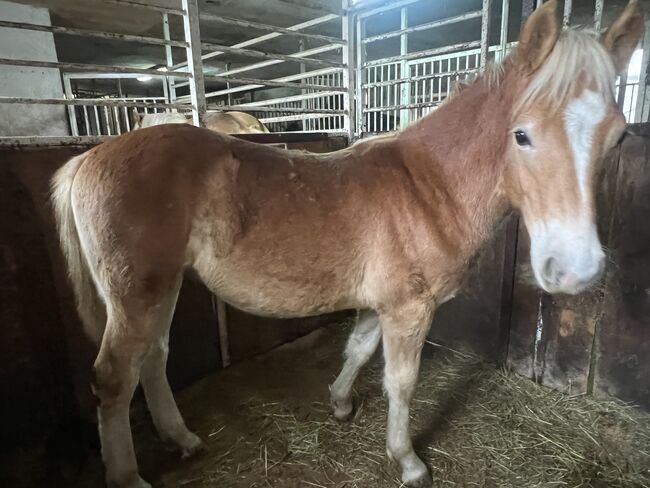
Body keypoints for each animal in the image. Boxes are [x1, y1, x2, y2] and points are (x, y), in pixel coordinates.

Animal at [52, 1, 644, 486]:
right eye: (522, 134)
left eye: (618, 137)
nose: (575, 269)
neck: (427, 187)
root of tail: (89, 157)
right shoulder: (409, 309)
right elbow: (400, 383)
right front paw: (407, 461)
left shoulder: (380, 303)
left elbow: (358, 349)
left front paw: (339, 404)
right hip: (137, 292)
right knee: (114, 378)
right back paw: (130, 476)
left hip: (164, 286)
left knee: (151, 360)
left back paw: (182, 439)